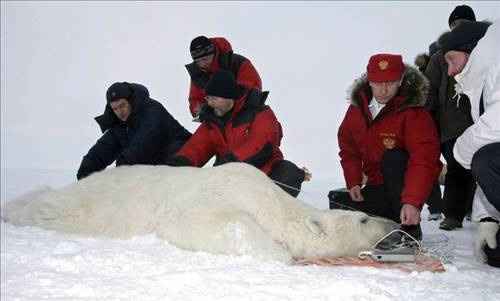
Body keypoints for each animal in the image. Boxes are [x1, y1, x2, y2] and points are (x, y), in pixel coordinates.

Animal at [0, 162, 398, 262]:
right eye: (363, 218)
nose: (394, 223)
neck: (269, 198)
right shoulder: (217, 194)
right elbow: (206, 222)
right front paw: (277, 253)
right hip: (62, 207)